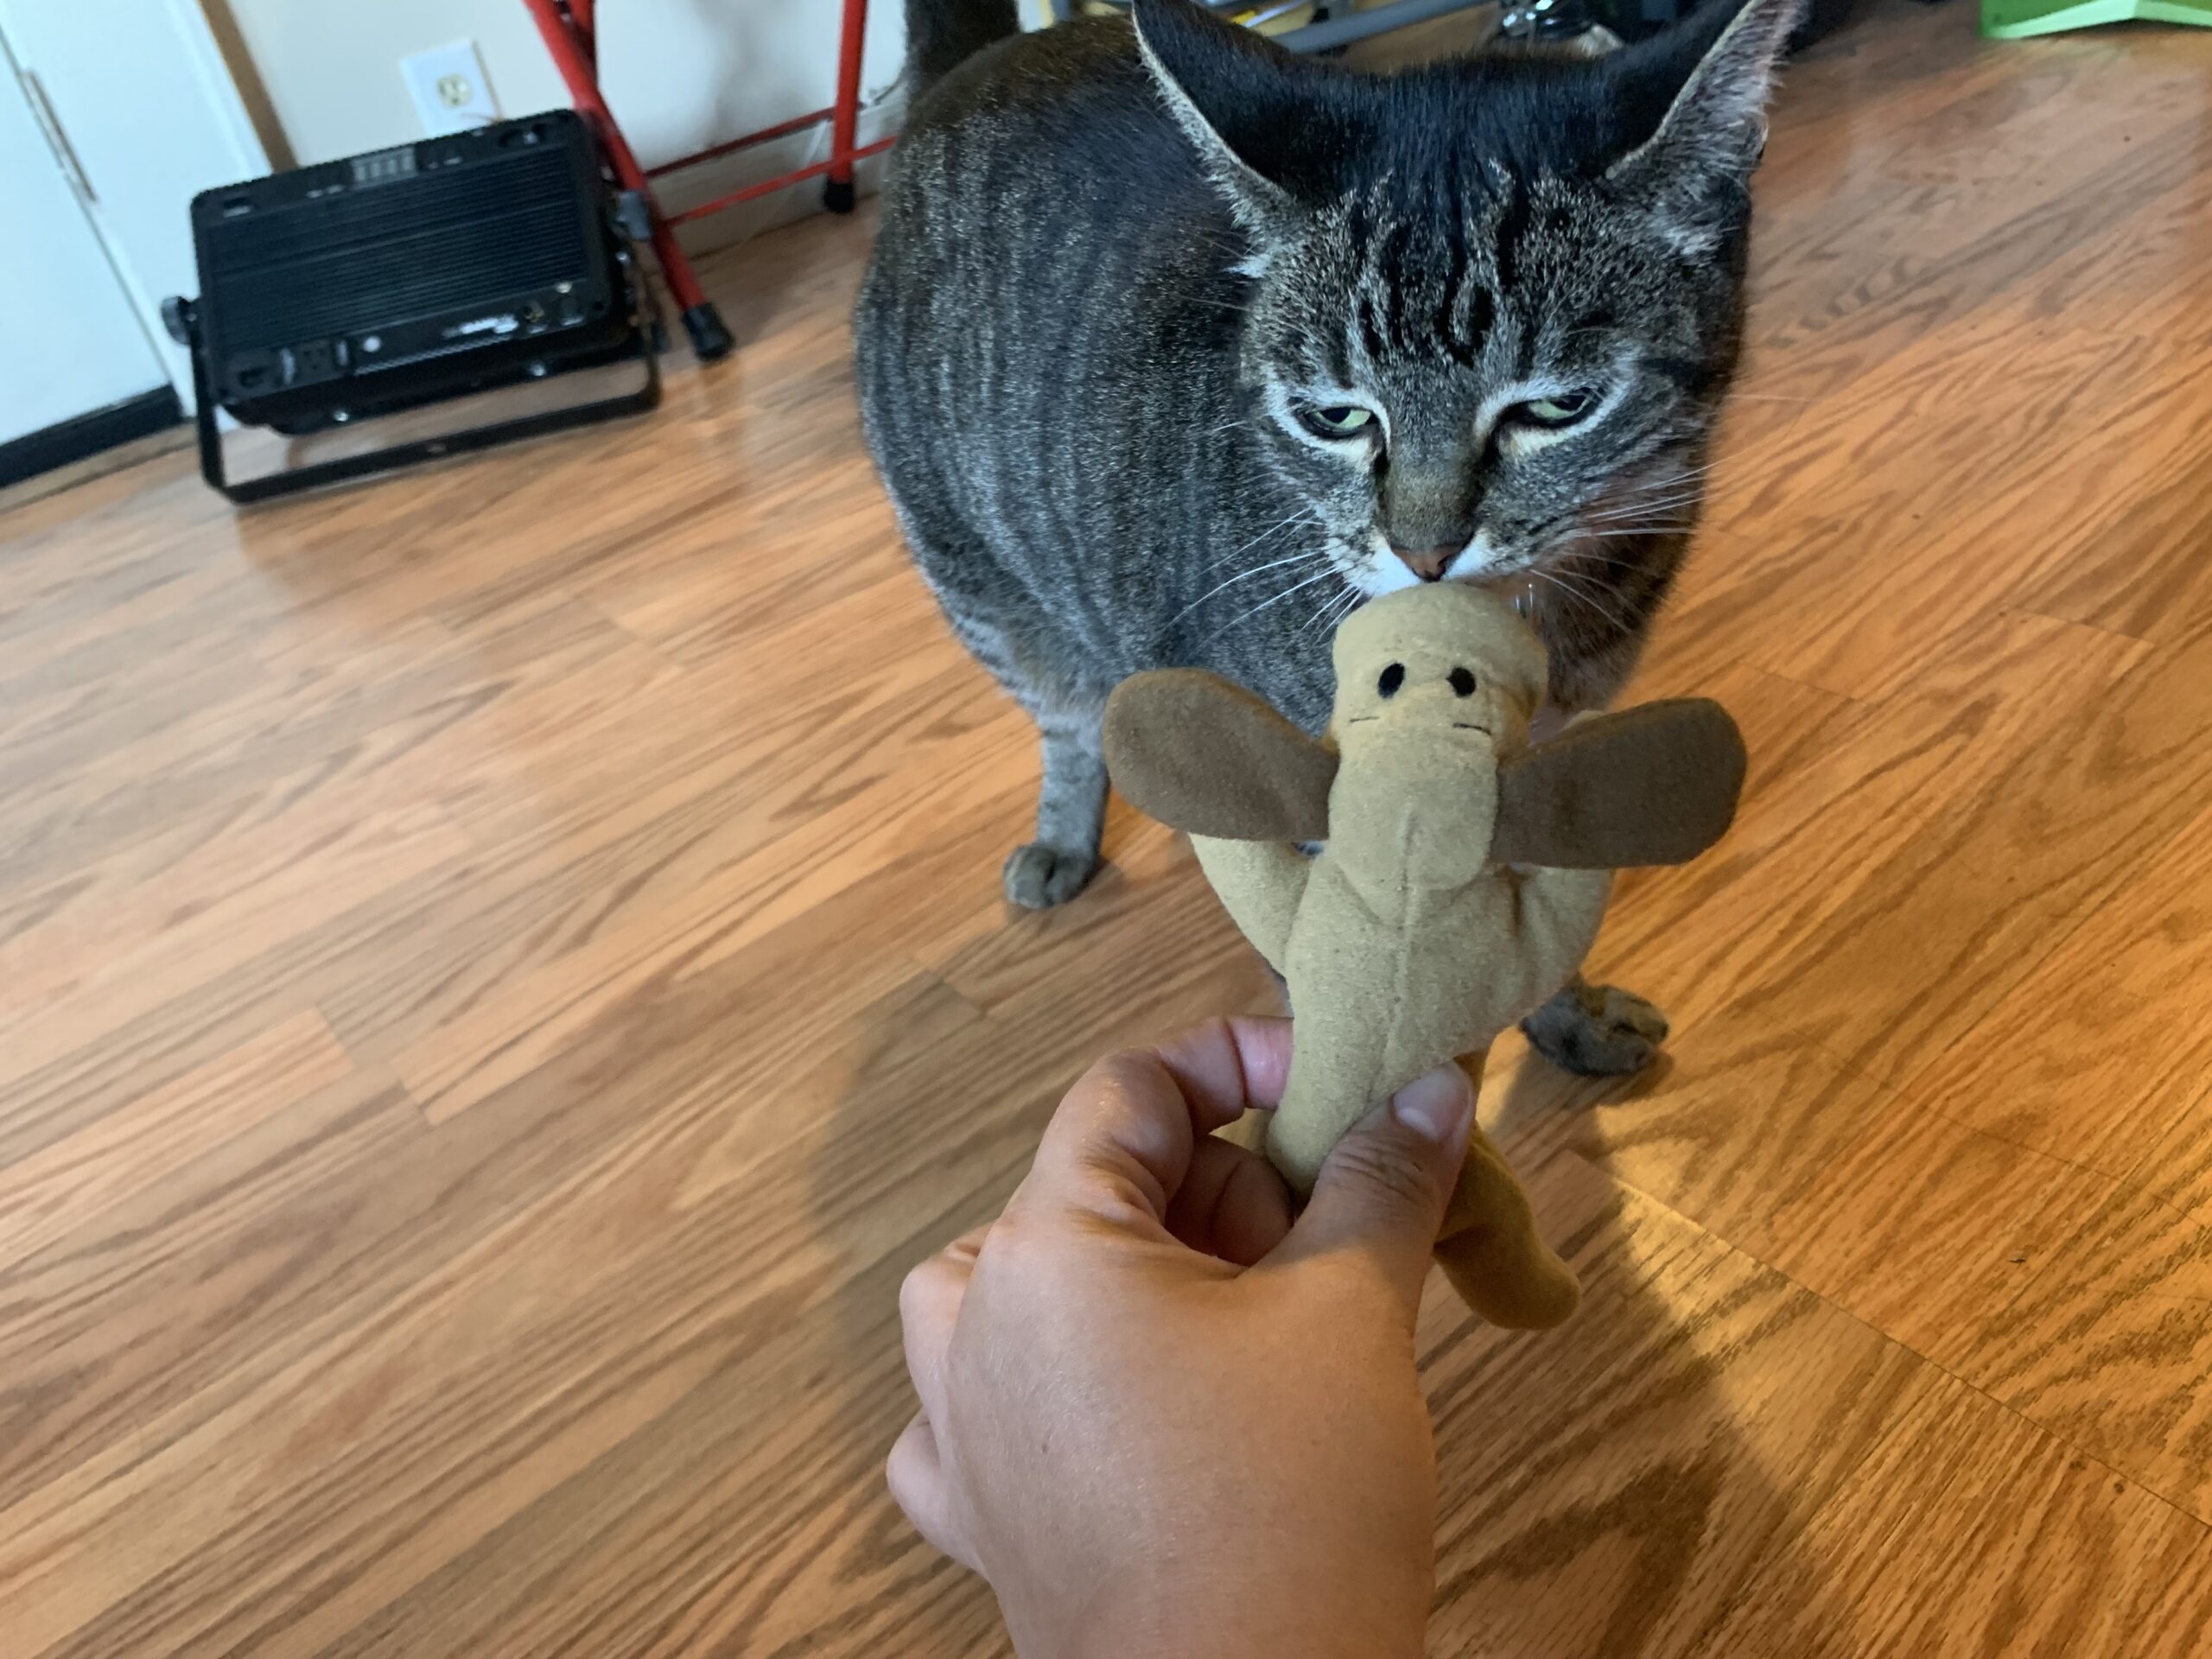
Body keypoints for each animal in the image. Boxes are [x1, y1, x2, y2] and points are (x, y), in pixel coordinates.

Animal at [856, 0, 1800, 1074]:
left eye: (1558, 407)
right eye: (1335, 418)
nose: (1424, 550)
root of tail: (979, 61)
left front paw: (1566, 1019)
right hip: (981, 587)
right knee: (1068, 720)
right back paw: (1064, 837)